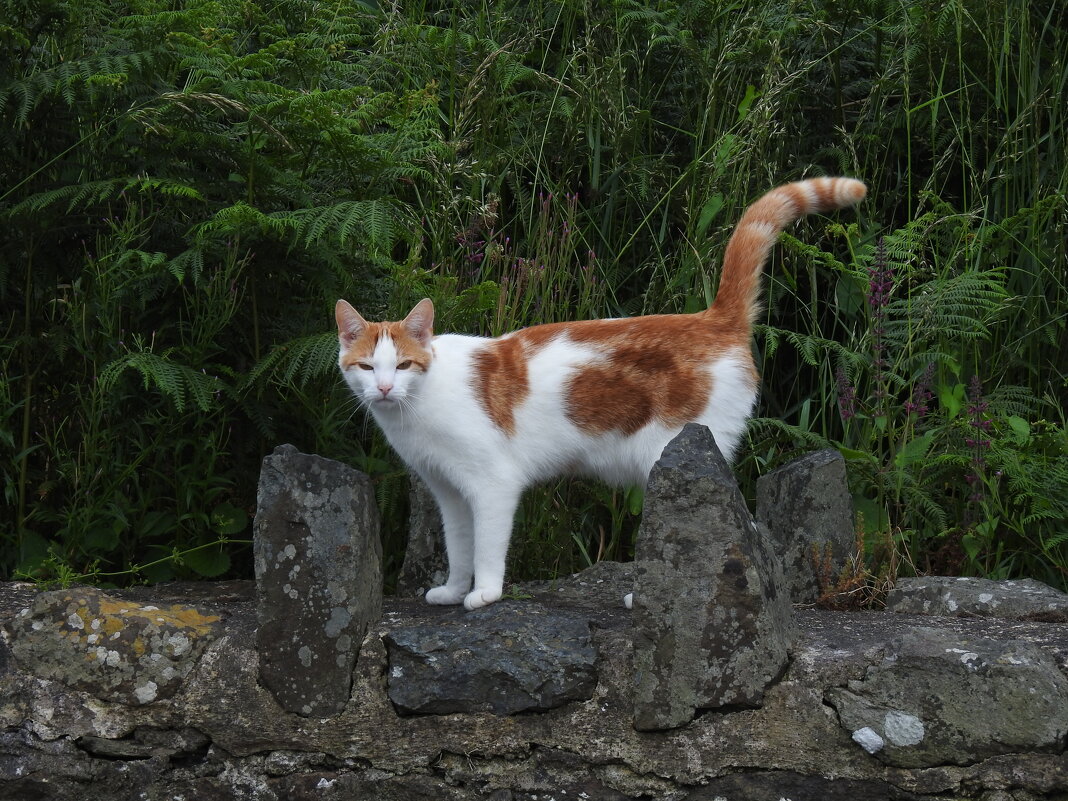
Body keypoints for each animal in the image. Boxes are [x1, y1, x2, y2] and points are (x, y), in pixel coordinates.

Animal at [337, 178, 862, 610]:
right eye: (367, 367)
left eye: (403, 365)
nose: (384, 387)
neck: (416, 408)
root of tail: (712, 318)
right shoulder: (449, 492)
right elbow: (460, 546)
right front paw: (451, 590)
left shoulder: (492, 484)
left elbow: (487, 546)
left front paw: (484, 594)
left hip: (676, 458)